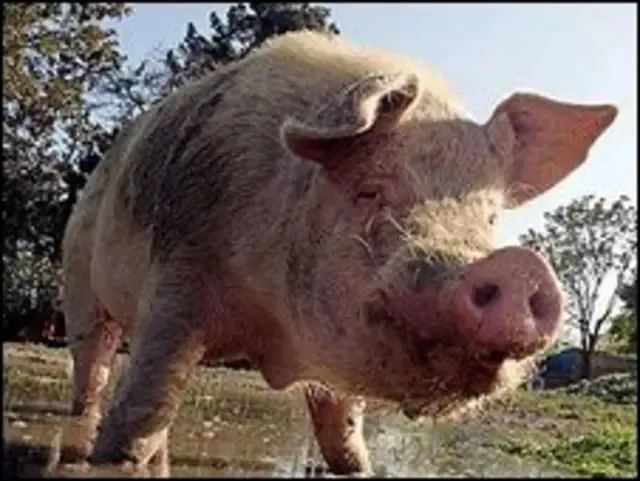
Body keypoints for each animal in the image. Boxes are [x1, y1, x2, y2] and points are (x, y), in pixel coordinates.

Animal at [60, 30, 617, 476]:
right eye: (370, 190)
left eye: (490, 217)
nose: (522, 267)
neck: (268, 327)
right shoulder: (179, 278)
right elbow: (144, 407)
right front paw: (111, 459)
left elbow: (344, 427)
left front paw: (358, 466)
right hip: (78, 282)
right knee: (95, 364)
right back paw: (79, 431)